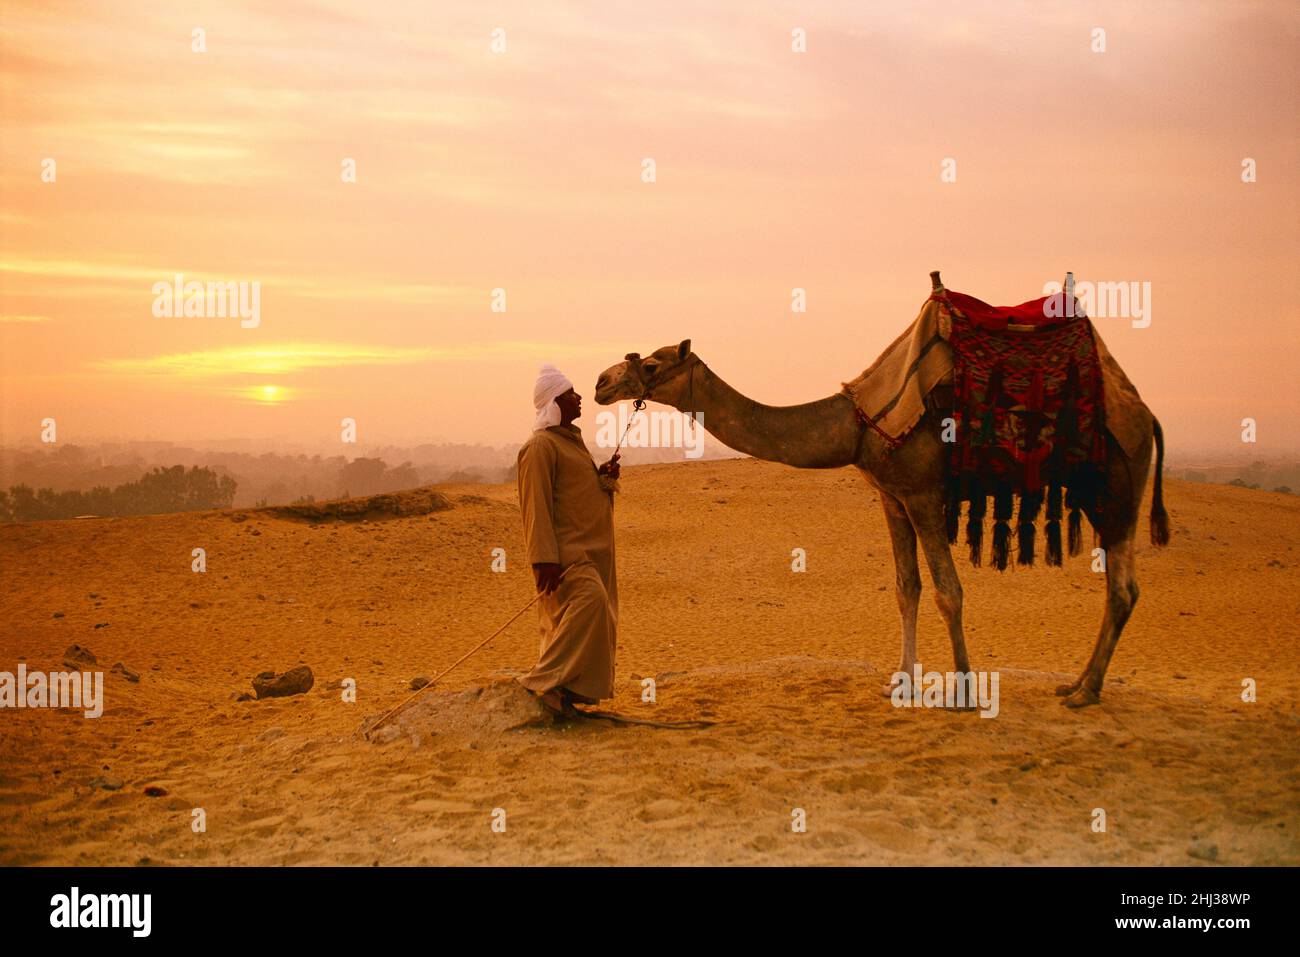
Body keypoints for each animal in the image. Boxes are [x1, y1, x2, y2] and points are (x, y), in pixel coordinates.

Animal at [595, 273, 1175, 707]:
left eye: (652, 363)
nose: (602, 383)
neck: (856, 425)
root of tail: (1145, 414)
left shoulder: (921, 492)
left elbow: (948, 590)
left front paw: (965, 691)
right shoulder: (891, 496)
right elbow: (906, 588)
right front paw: (902, 682)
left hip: (1117, 485)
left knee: (1123, 588)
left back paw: (1085, 690)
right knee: (1119, 586)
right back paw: (1077, 684)